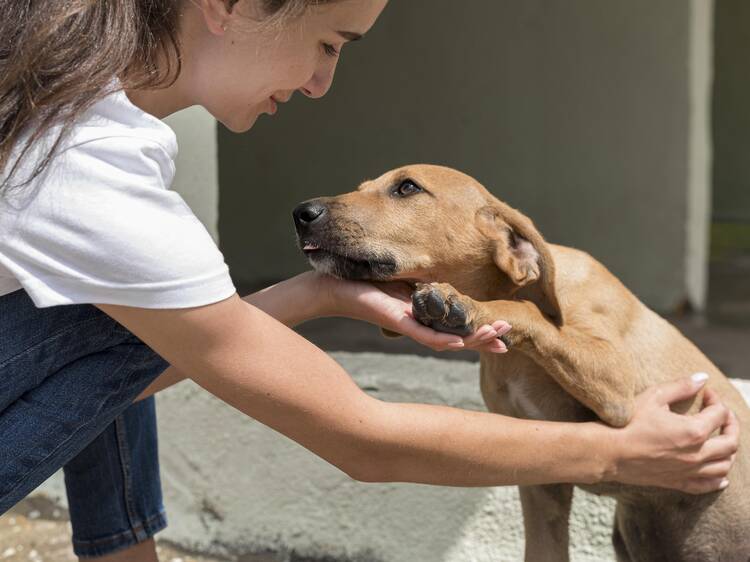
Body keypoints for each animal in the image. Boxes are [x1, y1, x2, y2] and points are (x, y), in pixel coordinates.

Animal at [294, 164, 750, 556]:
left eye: (407, 188)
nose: (301, 213)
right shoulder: (542, 482)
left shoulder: (619, 390)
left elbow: (526, 313)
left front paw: (465, 306)